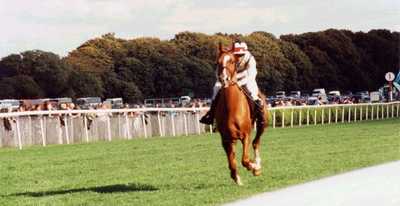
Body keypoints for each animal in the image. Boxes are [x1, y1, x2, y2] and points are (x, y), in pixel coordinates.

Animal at [214, 42, 268, 186]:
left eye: (232, 61)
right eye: (217, 62)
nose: (223, 79)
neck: (232, 108)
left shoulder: (246, 135)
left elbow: (244, 159)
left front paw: (255, 167)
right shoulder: (226, 139)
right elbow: (232, 162)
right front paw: (236, 178)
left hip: (263, 123)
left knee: (256, 142)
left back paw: (257, 164)